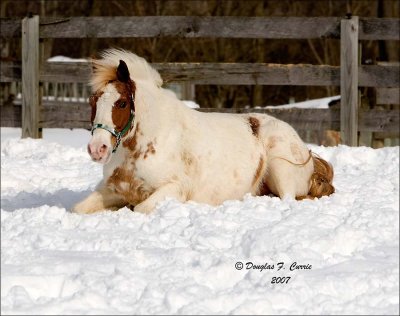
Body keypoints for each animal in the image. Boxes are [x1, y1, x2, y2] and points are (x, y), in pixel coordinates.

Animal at [72, 49, 334, 215]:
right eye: (92, 100)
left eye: (122, 103)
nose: (97, 149)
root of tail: (302, 147)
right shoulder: (111, 189)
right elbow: (78, 208)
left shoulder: (174, 189)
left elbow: (140, 208)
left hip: (280, 169)